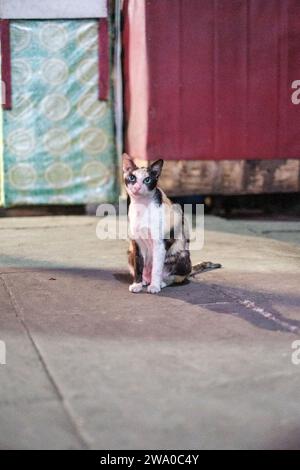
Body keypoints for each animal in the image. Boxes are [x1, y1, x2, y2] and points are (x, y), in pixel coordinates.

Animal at [122, 152, 220, 294]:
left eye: (147, 180)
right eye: (132, 177)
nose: (137, 187)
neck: (142, 207)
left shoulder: (160, 243)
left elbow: (157, 269)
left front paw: (155, 286)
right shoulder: (137, 243)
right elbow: (138, 266)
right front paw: (137, 284)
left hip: (182, 255)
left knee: (175, 277)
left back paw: (160, 283)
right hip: (130, 251)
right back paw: (145, 281)